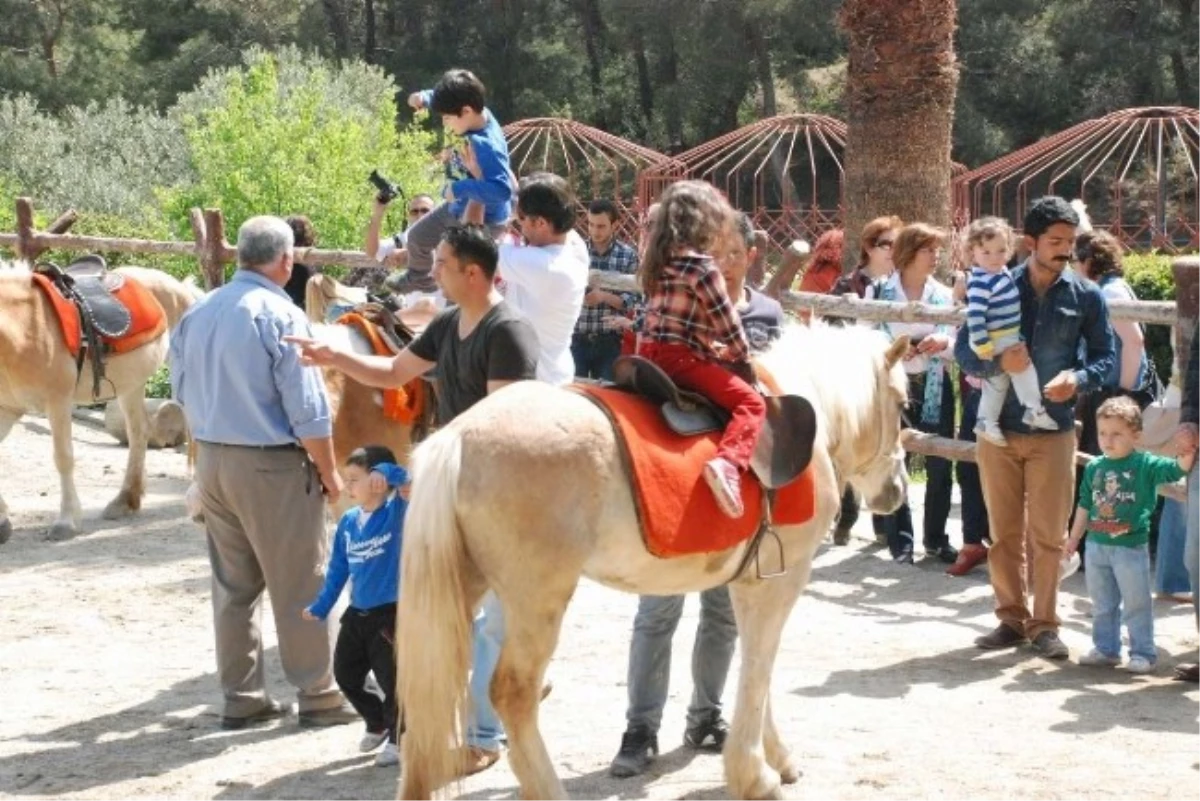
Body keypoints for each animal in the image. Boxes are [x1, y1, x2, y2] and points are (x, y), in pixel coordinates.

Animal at [0, 262, 202, 544]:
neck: (24, 326)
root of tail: (182, 287)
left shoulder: (58, 402)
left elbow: (63, 457)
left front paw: (67, 521)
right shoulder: (8, 408)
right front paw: (2, 521)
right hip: (131, 385)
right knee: (139, 434)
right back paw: (125, 500)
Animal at [396, 321, 907, 801]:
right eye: (903, 405)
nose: (898, 491)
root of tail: (458, 438)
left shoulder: (747, 583)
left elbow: (753, 663)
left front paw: (774, 757)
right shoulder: (781, 579)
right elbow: (760, 665)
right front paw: (756, 775)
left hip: (460, 588)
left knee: (424, 689)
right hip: (536, 600)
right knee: (513, 692)